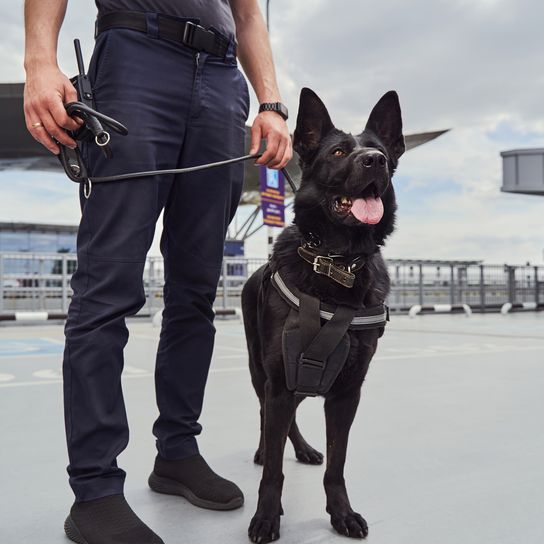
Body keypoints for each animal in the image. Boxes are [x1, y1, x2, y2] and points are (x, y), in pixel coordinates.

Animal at [242, 88, 404, 540]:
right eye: (338, 152)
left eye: (381, 151)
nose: (375, 161)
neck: (335, 262)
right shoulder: (281, 379)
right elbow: (274, 471)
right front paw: (266, 516)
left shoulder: (347, 392)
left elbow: (337, 463)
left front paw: (341, 513)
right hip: (261, 372)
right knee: (265, 415)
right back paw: (265, 449)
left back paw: (302, 449)